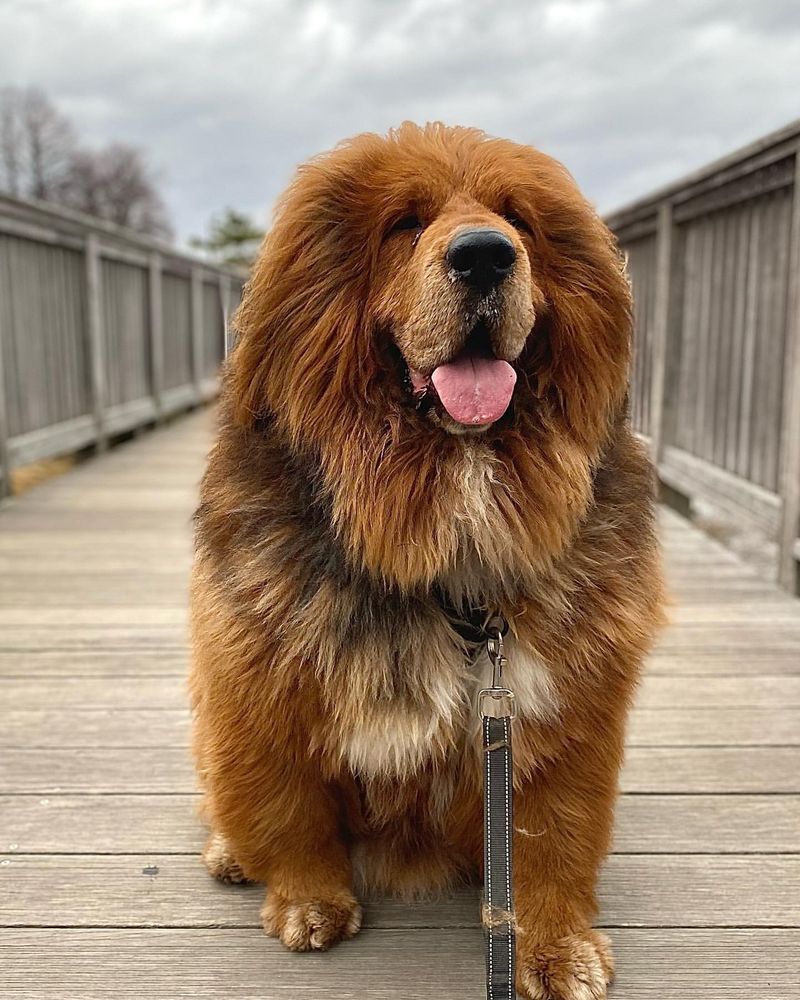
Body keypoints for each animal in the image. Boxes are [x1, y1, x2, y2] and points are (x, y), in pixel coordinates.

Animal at [191, 125, 664, 1000]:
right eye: (405, 223)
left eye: (519, 219)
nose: (485, 255)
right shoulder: (259, 690)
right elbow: (288, 812)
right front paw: (309, 902)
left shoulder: (564, 717)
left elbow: (550, 843)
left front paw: (555, 946)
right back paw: (230, 855)